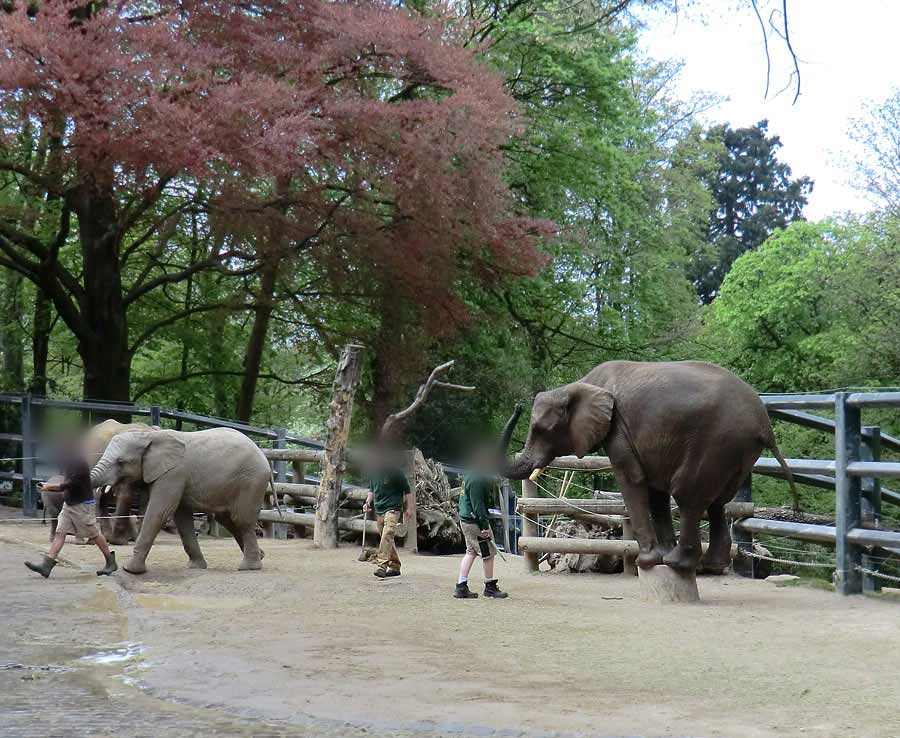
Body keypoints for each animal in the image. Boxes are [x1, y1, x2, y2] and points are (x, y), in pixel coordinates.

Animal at [91, 426, 276, 576]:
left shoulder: (173, 474)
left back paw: (249, 567)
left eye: (121, 462)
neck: (149, 435)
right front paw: (195, 567)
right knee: (227, 519)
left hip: (251, 481)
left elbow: (160, 511)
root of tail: (263, 456)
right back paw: (261, 556)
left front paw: (129, 570)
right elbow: (182, 518)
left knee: (242, 520)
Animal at [496, 360, 800, 572]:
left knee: (688, 494)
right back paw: (709, 566)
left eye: (541, 429)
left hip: (719, 440)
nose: (517, 406)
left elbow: (633, 481)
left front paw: (648, 561)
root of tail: (764, 422)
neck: (582, 384)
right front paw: (659, 558)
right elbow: (655, 491)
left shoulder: (618, 430)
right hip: (738, 450)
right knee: (717, 502)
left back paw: (680, 563)